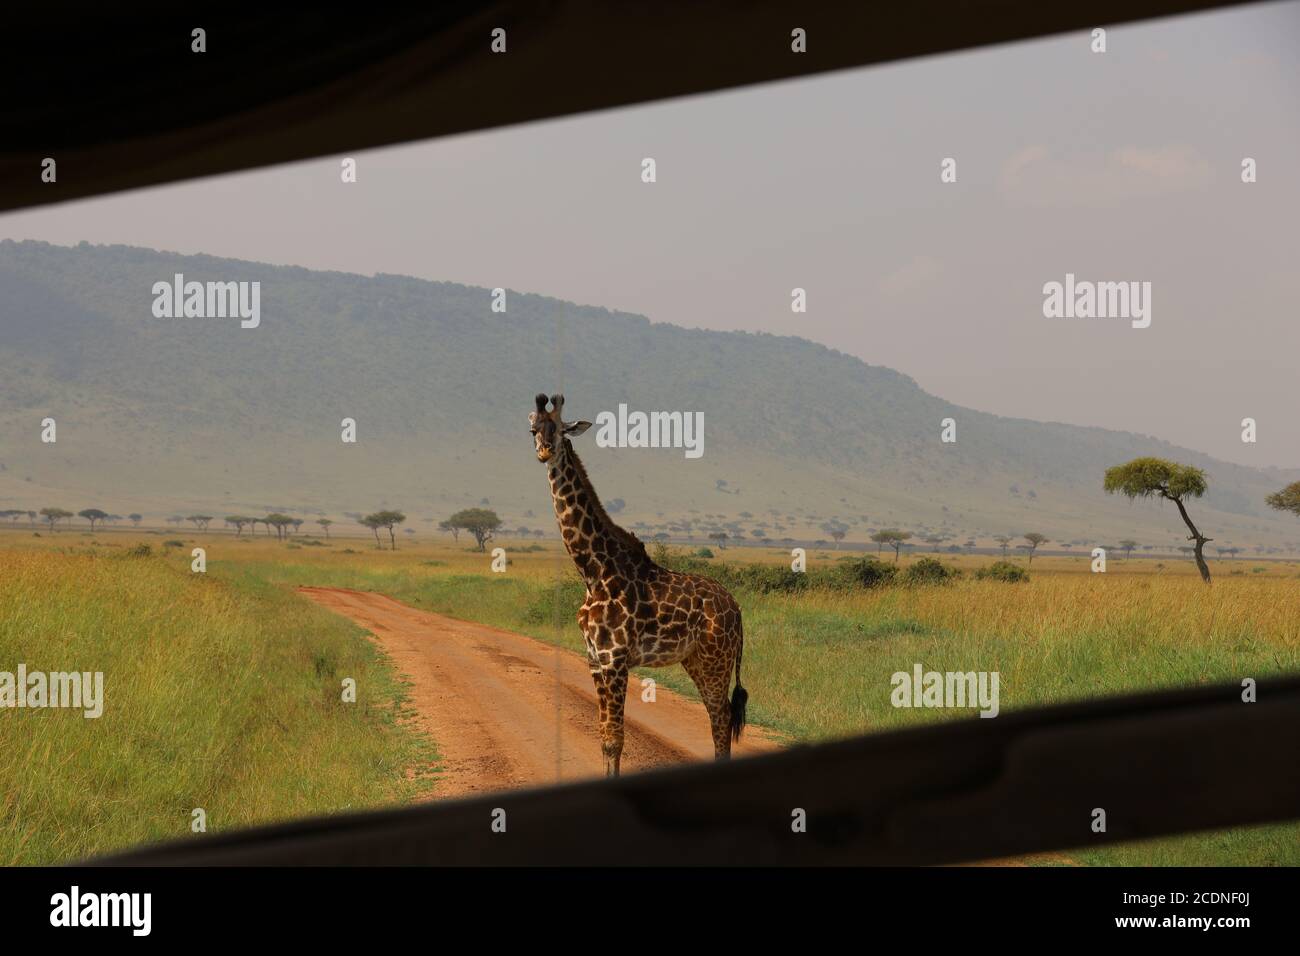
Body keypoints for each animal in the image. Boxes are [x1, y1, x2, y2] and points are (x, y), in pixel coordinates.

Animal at [527, 395, 748, 780]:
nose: (544, 451)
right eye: (533, 428)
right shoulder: (595, 659)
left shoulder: (616, 659)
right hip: (695, 659)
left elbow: (616, 739)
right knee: (718, 718)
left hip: (716, 659)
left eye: (560, 428)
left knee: (721, 721)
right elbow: (604, 736)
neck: (594, 573)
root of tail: (736, 610)